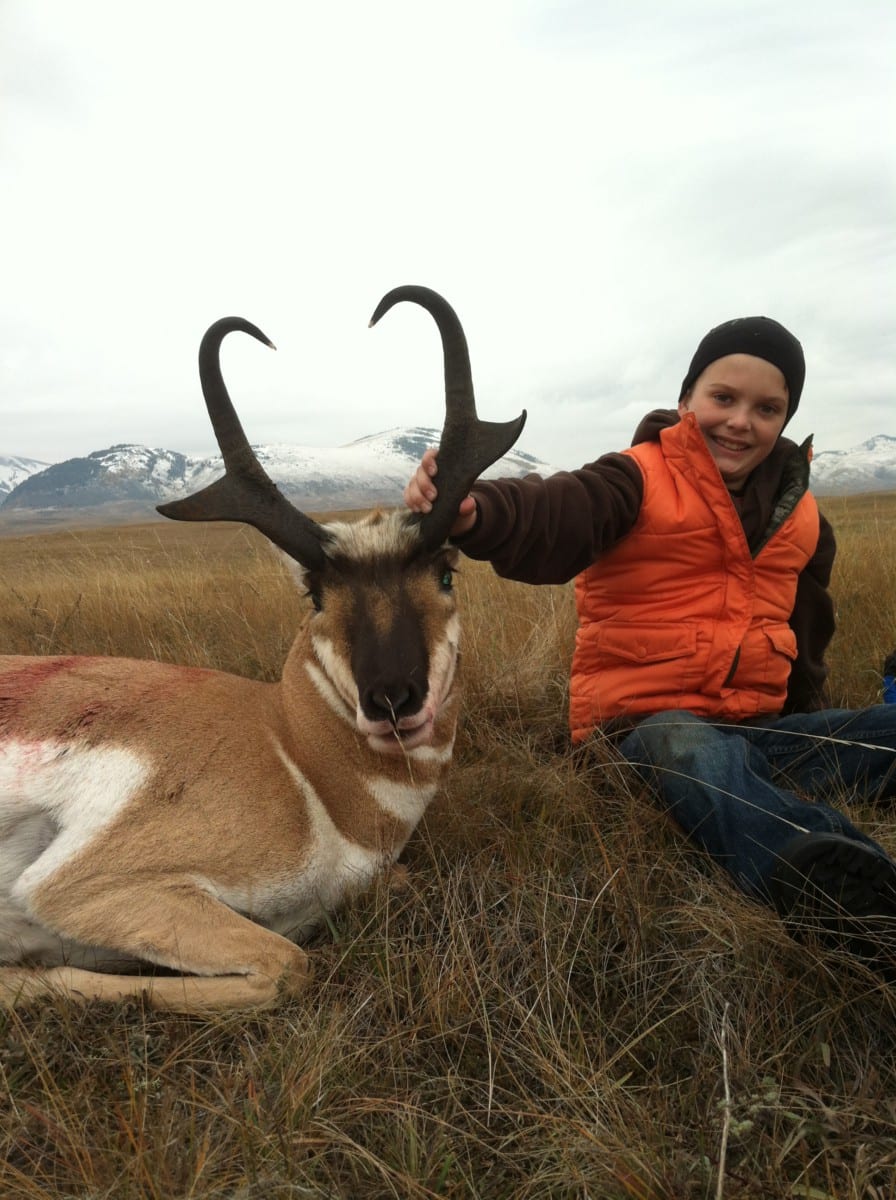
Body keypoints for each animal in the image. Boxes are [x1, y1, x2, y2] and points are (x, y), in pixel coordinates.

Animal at [0, 286, 525, 1012]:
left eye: (447, 572)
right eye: (315, 594)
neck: (293, 749)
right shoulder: (83, 886)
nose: (392, 699)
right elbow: (284, 966)